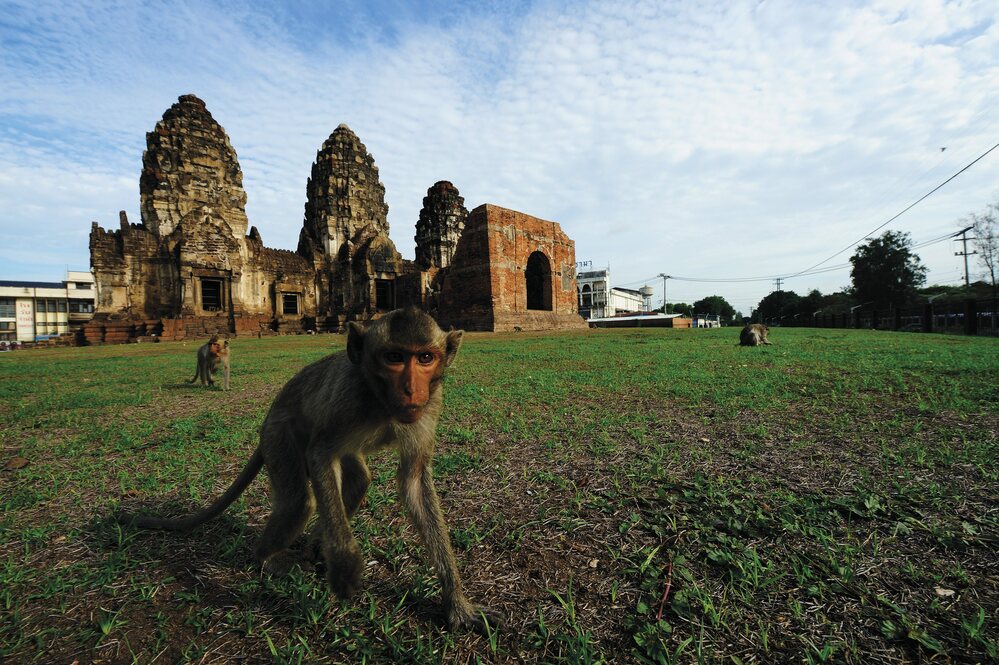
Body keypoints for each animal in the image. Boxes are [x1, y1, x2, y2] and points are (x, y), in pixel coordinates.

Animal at [122, 308, 504, 632]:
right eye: (394, 358)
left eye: (425, 358)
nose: (411, 389)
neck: (381, 401)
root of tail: (268, 419)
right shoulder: (348, 401)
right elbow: (321, 456)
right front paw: (346, 565)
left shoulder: (429, 406)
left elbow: (412, 483)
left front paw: (457, 603)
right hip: (280, 437)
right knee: (298, 501)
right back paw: (271, 557)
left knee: (358, 480)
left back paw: (317, 544)